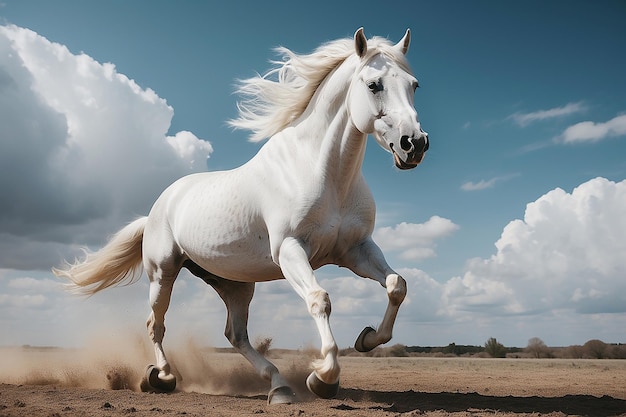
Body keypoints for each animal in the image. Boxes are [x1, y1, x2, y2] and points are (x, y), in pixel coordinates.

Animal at [53, 28, 426, 404]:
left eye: (414, 85)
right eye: (374, 84)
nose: (414, 144)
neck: (322, 172)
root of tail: (157, 208)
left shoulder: (355, 250)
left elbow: (397, 285)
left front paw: (365, 339)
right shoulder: (290, 250)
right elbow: (319, 300)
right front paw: (323, 378)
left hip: (235, 284)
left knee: (235, 334)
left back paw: (278, 386)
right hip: (163, 273)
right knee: (156, 324)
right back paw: (162, 377)